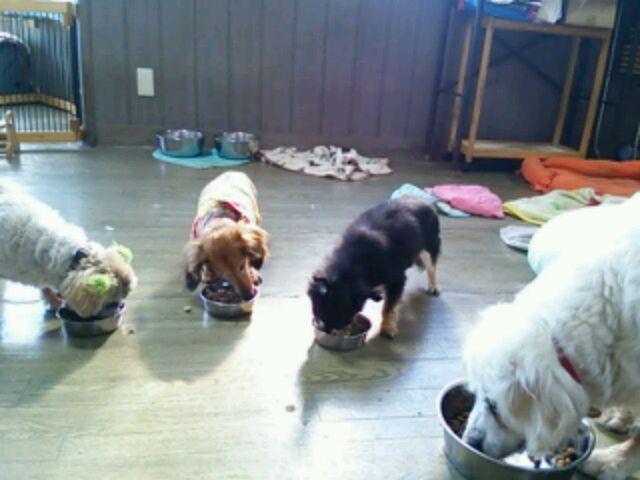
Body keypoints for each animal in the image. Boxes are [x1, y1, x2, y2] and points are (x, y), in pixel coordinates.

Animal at [184, 171, 269, 300]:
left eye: (241, 266)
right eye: (225, 273)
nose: (248, 296)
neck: (218, 221)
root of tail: (233, 172)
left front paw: (253, 272)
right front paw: (207, 272)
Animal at [308, 196, 441, 339]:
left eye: (343, 320)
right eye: (318, 313)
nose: (326, 330)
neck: (353, 263)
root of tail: (424, 201)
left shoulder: (397, 280)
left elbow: (388, 308)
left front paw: (388, 327)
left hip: (429, 247)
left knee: (432, 267)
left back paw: (433, 286)